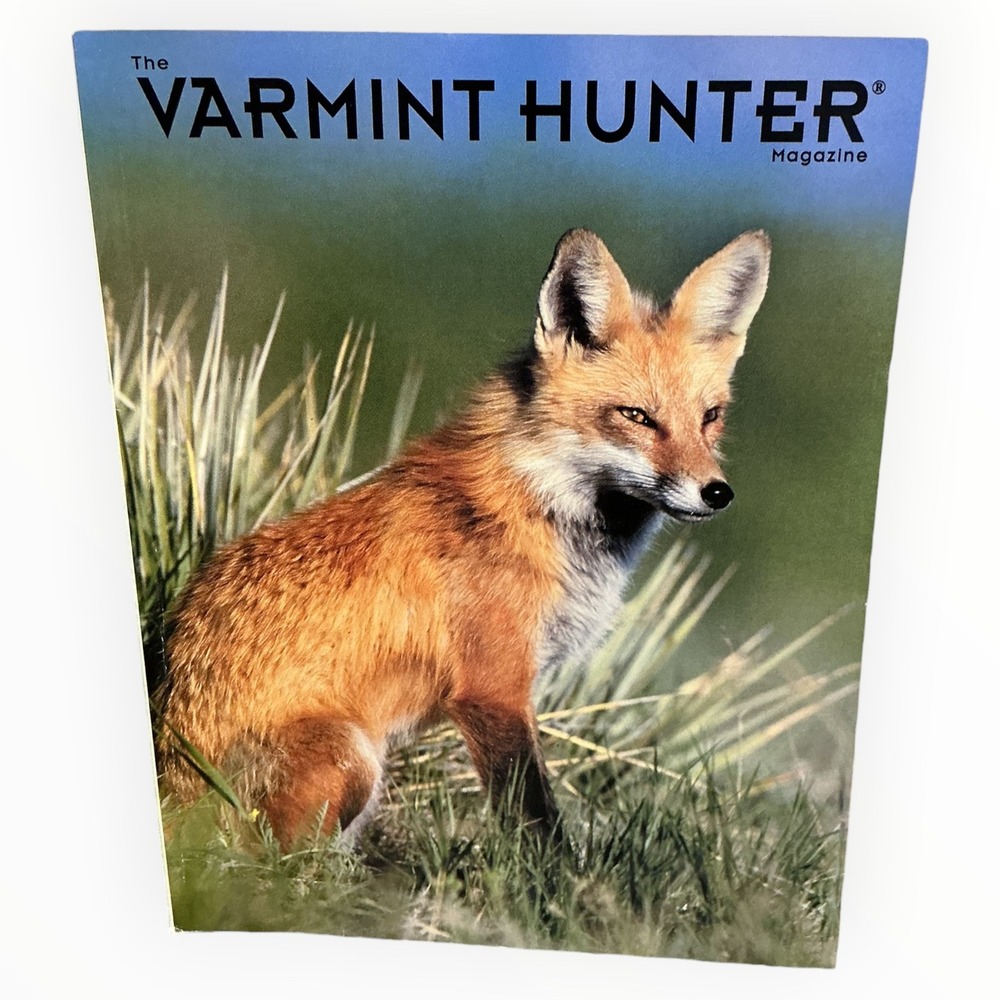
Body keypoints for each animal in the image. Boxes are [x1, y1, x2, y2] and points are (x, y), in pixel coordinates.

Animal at [155, 227, 771, 848]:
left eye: (710, 417)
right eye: (636, 416)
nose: (717, 492)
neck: (535, 501)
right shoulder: (492, 688)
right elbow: (537, 820)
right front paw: (558, 876)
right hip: (352, 756)